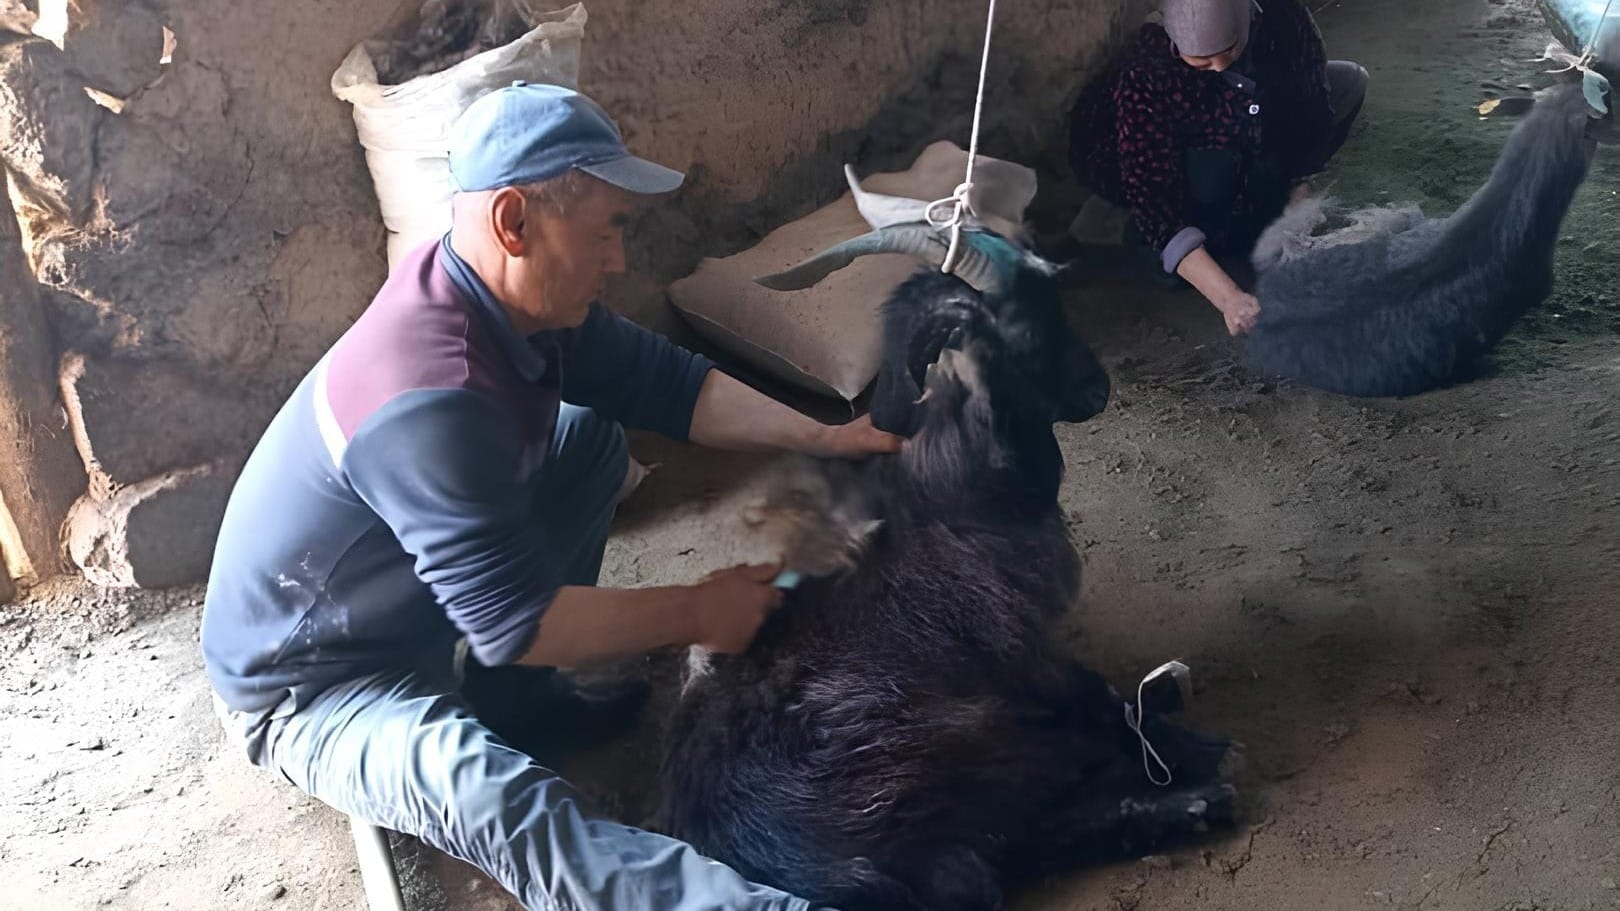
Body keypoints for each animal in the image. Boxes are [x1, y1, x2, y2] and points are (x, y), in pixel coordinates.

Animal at [657, 223, 1239, 911]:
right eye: (1020, 333)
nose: (1096, 392)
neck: (954, 487)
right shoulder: (1015, 646)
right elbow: (1094, 696)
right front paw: (1184, 744)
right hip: (941, 753)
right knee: (1013, 837)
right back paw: (1196, 793)